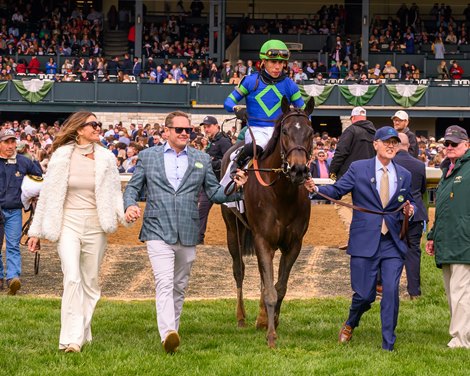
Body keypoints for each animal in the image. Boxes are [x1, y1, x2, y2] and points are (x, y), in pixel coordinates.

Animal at [221, 96, 316, 346]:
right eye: (285, 131)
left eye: (311, 132)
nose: (298, 169)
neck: (281, 194)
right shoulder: (262, 239)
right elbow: (270, 290)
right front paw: (271, 335)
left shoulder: (293, 244)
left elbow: (278, 287)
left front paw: (271, 322)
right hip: (232, 229)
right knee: (239, 269)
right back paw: (242, 317)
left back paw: (262, 317)